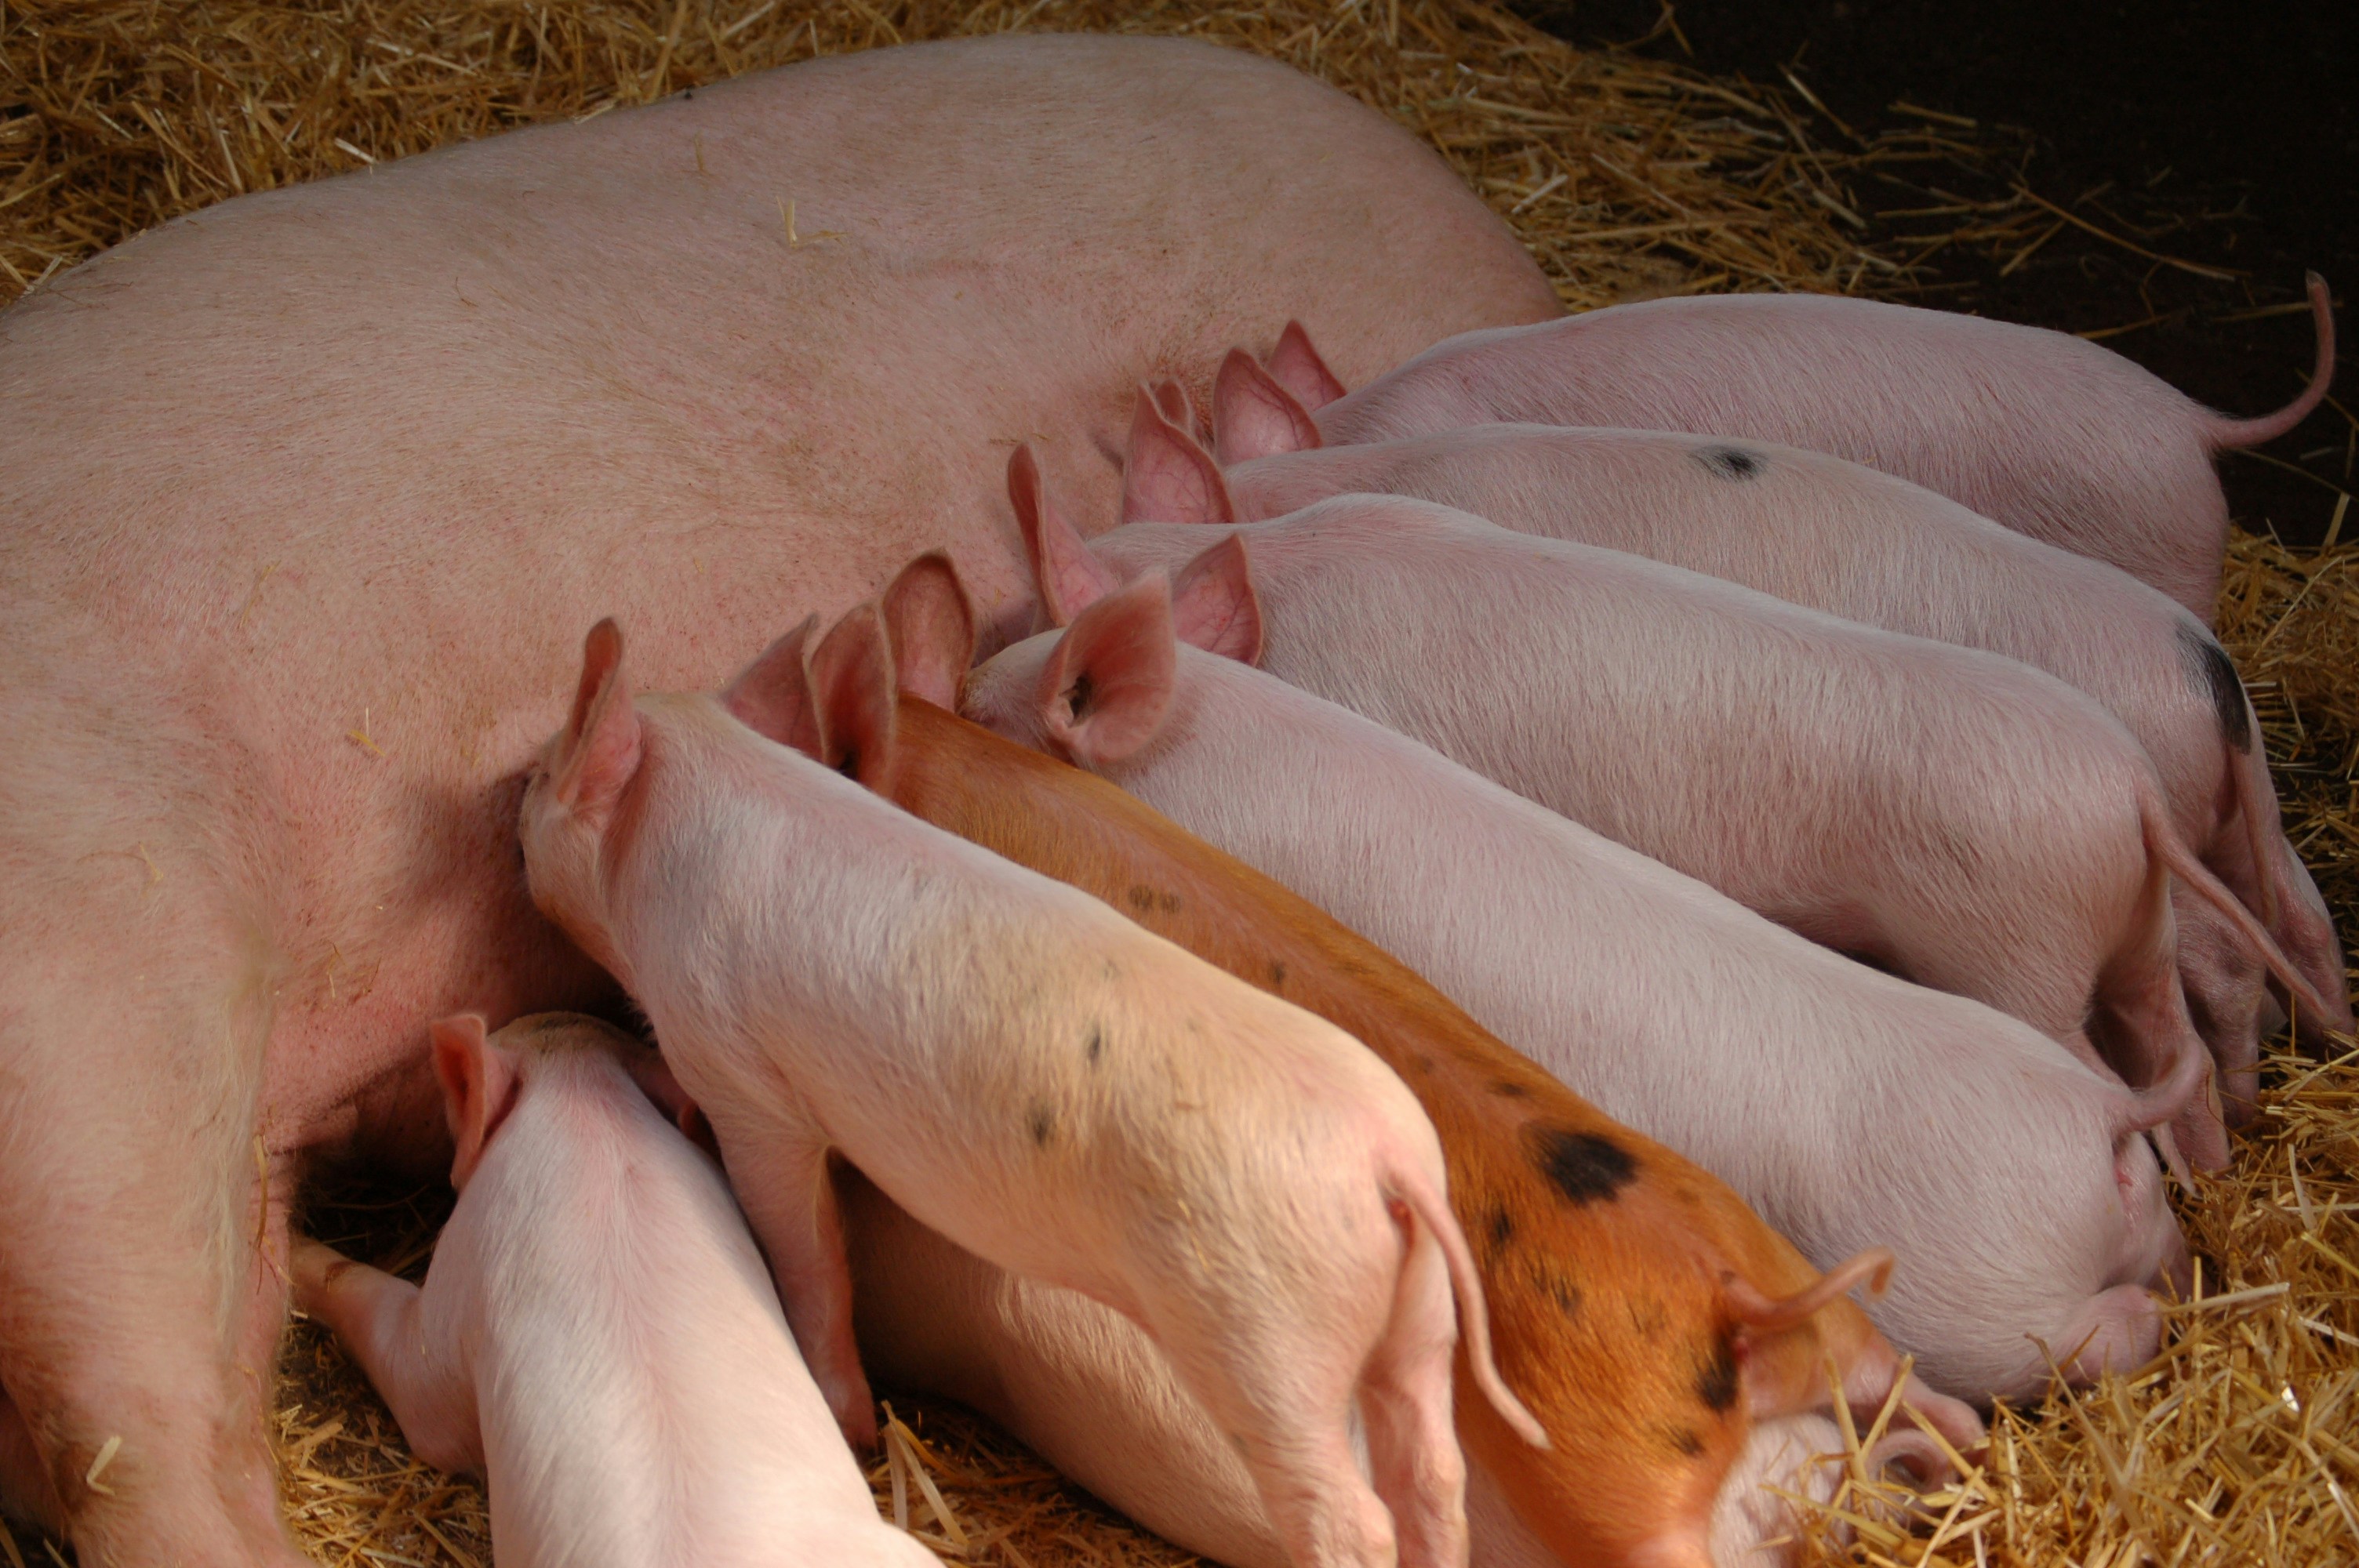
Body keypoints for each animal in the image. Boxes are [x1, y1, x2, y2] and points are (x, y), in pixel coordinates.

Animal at [515, 615, 1545, 1568]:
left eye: (548, 770)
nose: (510, 791)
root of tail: (1391, 1163)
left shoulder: (746, 1082)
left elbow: (805, 1250)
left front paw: (849, 1419)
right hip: (1418, 1324)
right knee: (1433, 1470)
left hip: (1267, 1340)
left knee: (1350, 1511)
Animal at [961, 571, 2198, 1405]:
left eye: (985, 710)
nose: (957, 679)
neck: (1193, 744)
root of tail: (2105, 1115)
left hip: (1982, 1300)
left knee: (2101, 1334)